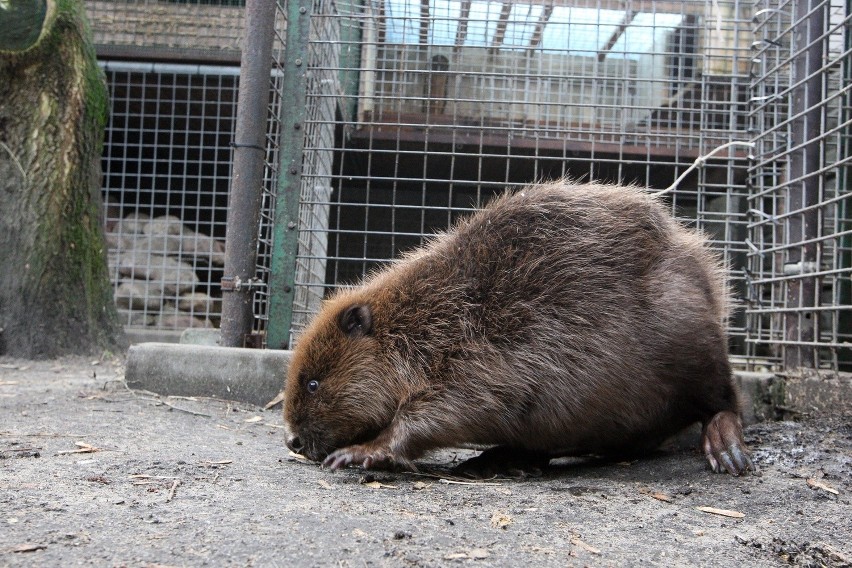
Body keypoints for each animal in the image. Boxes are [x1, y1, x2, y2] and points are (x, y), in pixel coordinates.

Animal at [284, 181, 752, 474]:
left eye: (312, 383)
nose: (292, 441)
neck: (424, 318)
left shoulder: (484, 355)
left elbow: (448, 408)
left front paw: (356, 453)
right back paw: (501, 459)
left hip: (691, 335)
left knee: (723, 401)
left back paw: (726, 449)